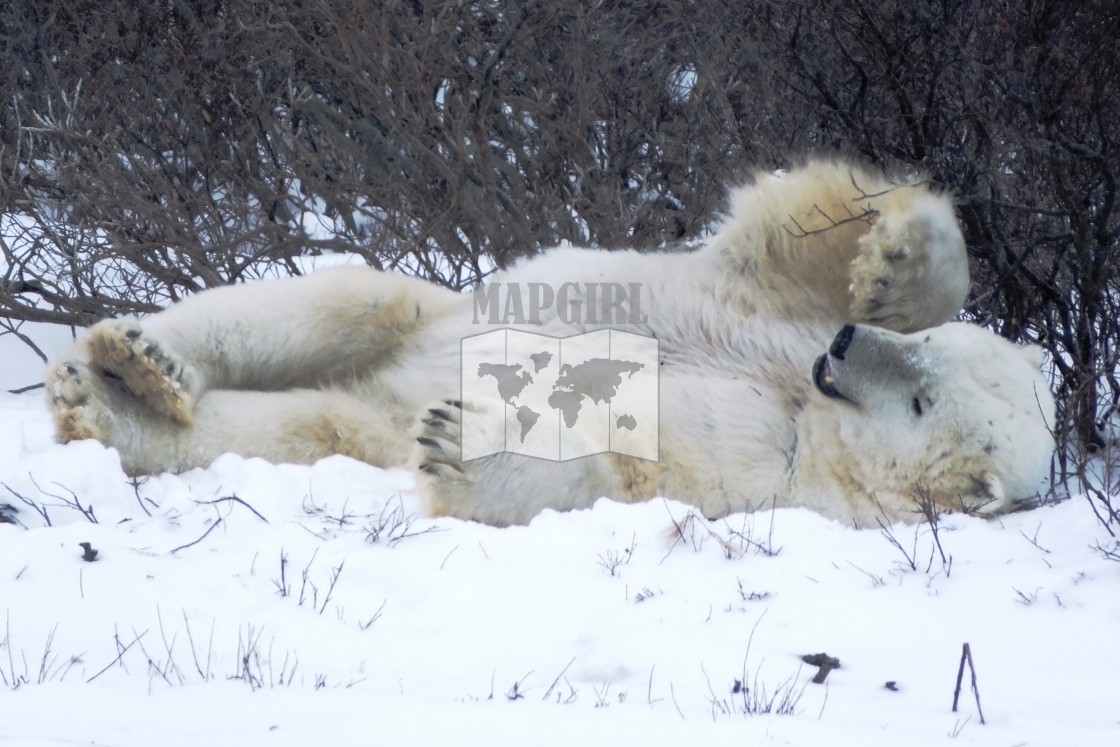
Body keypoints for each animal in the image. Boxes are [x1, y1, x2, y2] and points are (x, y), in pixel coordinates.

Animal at [45, 161, 1057, 528]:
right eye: (924, 360)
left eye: (923, 402)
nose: (845, 346)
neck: (802, 401)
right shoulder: (755, 309)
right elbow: (789, 236)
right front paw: (892, 266)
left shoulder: (766, 477)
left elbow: (617, 469)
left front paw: (461, 439)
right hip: (431, 311)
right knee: (341, 299)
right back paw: (137, 360)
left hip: (361, 410)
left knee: (302, 426)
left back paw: (115, 402)